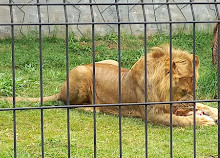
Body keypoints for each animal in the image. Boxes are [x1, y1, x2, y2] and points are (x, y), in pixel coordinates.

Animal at [0, 45, 217, 126]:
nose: (190, 103)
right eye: (183, 90)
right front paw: (202, 120)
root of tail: (60, 89)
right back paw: (93, 108)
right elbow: (178, 120)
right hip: (81, 72)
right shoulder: (150, 113)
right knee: (69, 104)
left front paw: (212, 111)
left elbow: (202, 105)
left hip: (112, 61)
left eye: (195, 89)